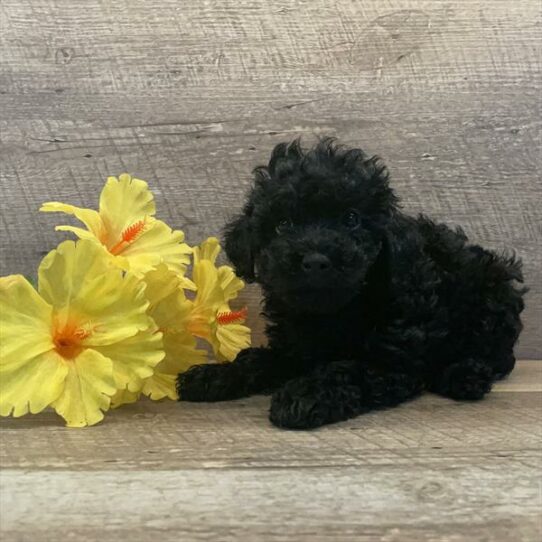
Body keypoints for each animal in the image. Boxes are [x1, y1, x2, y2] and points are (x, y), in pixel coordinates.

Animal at [178, 138, 528, 432]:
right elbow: (256, 359)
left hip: (492, 298)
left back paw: (466, 375)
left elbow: (347, 369)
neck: (336, 310)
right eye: (283, 225)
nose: (315, 260)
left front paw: (305, 395)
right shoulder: (295, 348)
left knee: (496, 355)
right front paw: (213, 376)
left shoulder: (391, 362)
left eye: (351, 219)